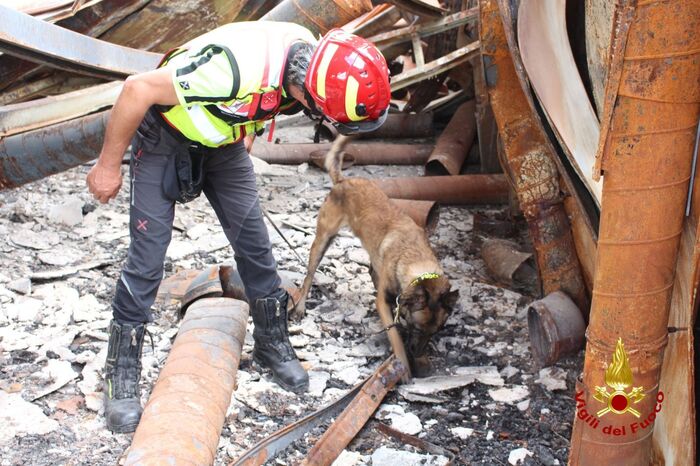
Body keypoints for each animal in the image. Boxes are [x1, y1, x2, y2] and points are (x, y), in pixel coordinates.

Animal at [292, 136, 460, 374]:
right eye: (417, 328)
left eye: (435, 332)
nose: (417, 353)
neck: (414, 259)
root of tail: (343, 181)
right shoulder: (385, 304)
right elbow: (395, 337)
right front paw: (404, 366)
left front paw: (422, 361)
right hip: (322, 240)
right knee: (308, 276)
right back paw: (300, 306)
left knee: (371, 270)